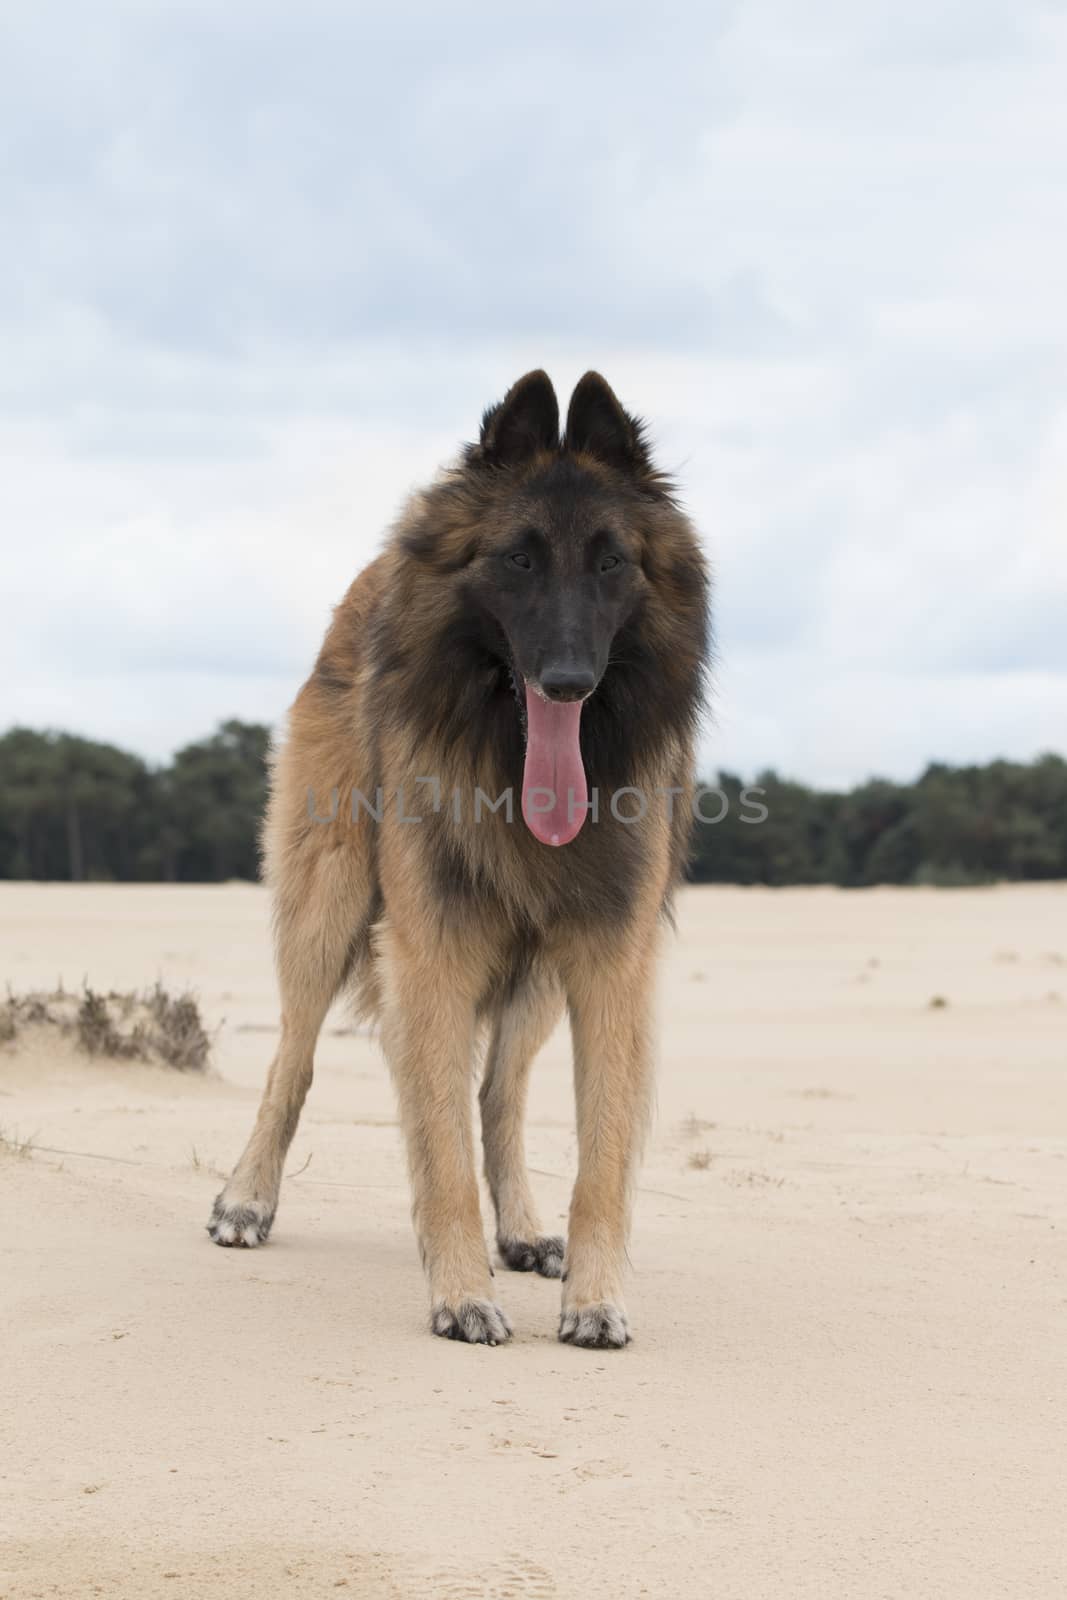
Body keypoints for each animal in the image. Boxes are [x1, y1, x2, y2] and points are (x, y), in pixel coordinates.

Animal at [207, 374, 710, 1350]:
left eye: (610, 564)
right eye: (517, 561)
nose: (567, 681)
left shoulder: (608, 960)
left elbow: (598, 1152)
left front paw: (592, 1297)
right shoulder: (431, 951)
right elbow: (434, 1141)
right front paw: (459, 1293)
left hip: (535, 972)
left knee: (497, 1095)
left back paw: (518, 1228)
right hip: (328, 907)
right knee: (293, 1060)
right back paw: (247, 1199)